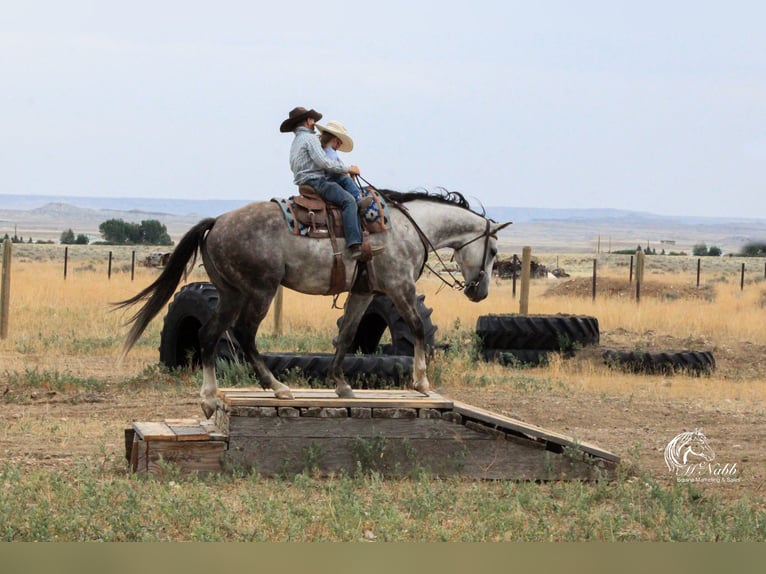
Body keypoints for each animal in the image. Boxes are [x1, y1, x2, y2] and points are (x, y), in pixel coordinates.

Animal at [117, 190, 512, 418]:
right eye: (493, 250)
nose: (480, 292)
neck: (407, 228)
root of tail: (217, 222)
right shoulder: (400, 286)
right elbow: (415, 327)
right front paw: (421, 382)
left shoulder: (365, 292)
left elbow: (348, 335)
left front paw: (341, 385)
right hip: (258, 292)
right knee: (241, 335)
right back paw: (273, 387)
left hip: (231, 293)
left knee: (211, 336)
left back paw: (211, 398)